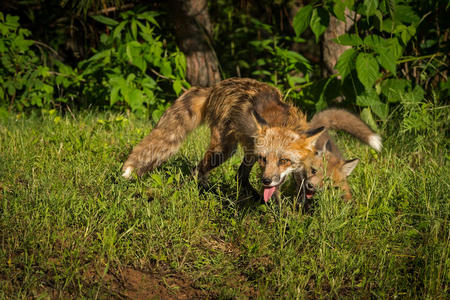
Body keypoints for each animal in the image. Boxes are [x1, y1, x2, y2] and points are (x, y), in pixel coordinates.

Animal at [121, 78, 326, 203]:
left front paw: (299, 211)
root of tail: (215, 87)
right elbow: (276, 196)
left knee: (239, 176)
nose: (266, 180)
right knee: (198, 170)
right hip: (223, 151)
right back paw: (206, 191)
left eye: (284, 160)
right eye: (265, 159)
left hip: (247, 151)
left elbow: (299, 191)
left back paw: (250, 195)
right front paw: (281, 216)